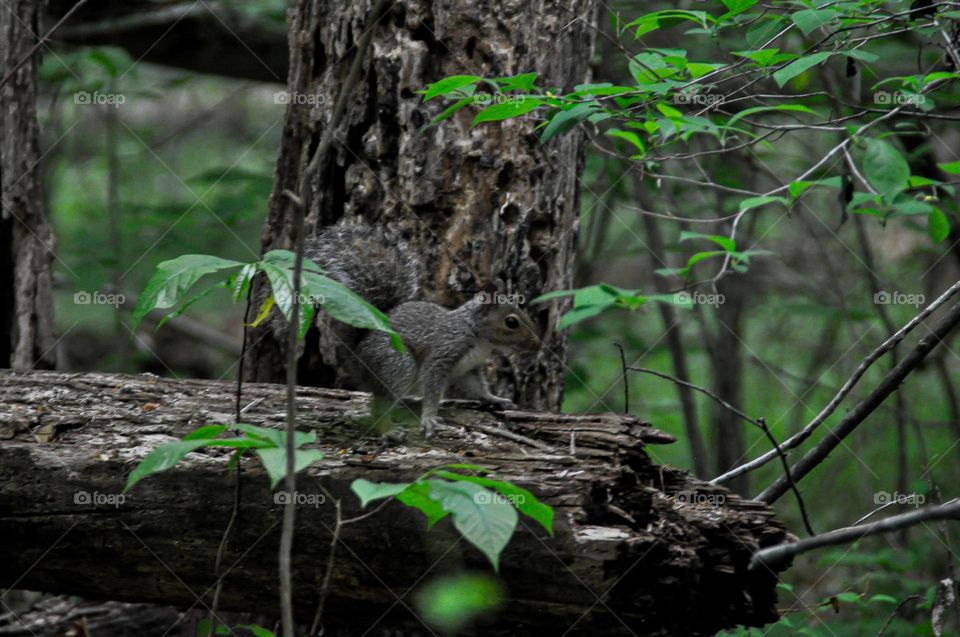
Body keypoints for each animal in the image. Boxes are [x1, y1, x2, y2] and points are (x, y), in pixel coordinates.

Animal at [296, 219, 540, 438]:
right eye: (511, 322)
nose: (536, 344)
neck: (479, 339)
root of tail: (355, 351)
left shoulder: (468, 369)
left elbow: (478, 389)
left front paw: (496, 399)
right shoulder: (442, 354)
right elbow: (432, 388)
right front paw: (429, 418)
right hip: (396, 364)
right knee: (379, 405)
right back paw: (389, 430)